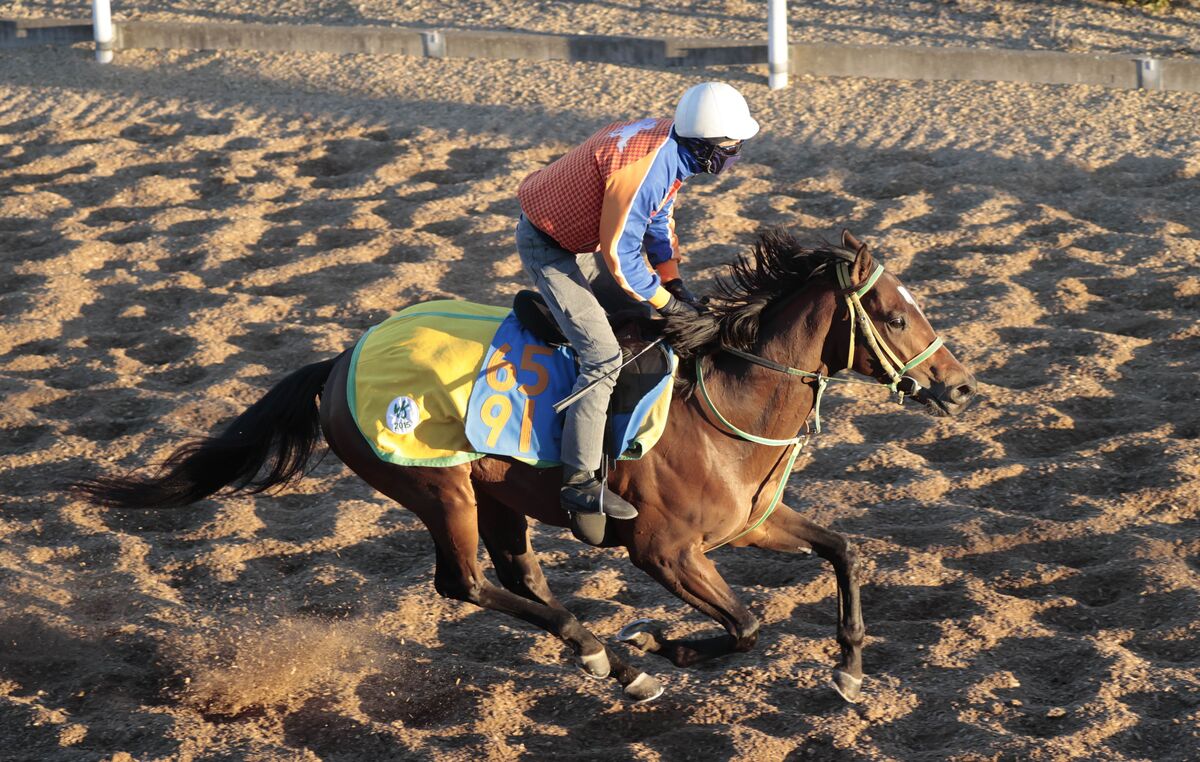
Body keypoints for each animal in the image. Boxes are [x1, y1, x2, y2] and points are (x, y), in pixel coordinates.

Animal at [77, 229, 974, 705]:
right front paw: (664, 644)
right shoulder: (665, 553)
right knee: (465, 584)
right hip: (438, 487)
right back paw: (605, 652)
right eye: (895, 314)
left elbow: (842, 550)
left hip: (495, 492)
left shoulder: (748, 524)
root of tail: (338, 362)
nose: (960, 384)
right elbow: (748, 625)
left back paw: (607, 660)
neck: (729, 405)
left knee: (518, 577)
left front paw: (850, 669)